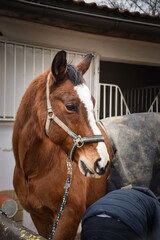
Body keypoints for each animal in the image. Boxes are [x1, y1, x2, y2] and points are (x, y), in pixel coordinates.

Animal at [12, 51, 112, 240]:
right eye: (70, 106)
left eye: (93, 104)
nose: (102, 162)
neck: (36, 170)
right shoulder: (39, 217)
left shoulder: (68, 218)